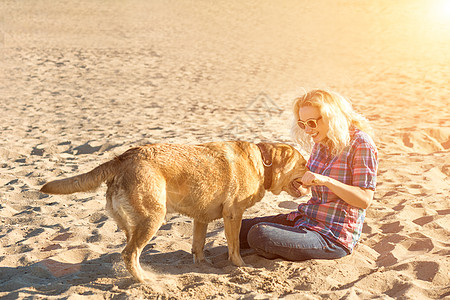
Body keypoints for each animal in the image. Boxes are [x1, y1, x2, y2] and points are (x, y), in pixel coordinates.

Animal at [40, 141, 310, 282]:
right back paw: (146, 281)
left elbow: (198, 246)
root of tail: (123, 158)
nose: (313, 172)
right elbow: (233, 247)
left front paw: (204, 267)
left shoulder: (201, 219)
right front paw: (240, 266)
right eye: (303, 163)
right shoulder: (233, 215)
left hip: (133, 223)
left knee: (128, 251)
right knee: (129, 254)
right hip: (152, 218)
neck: (263, 162)